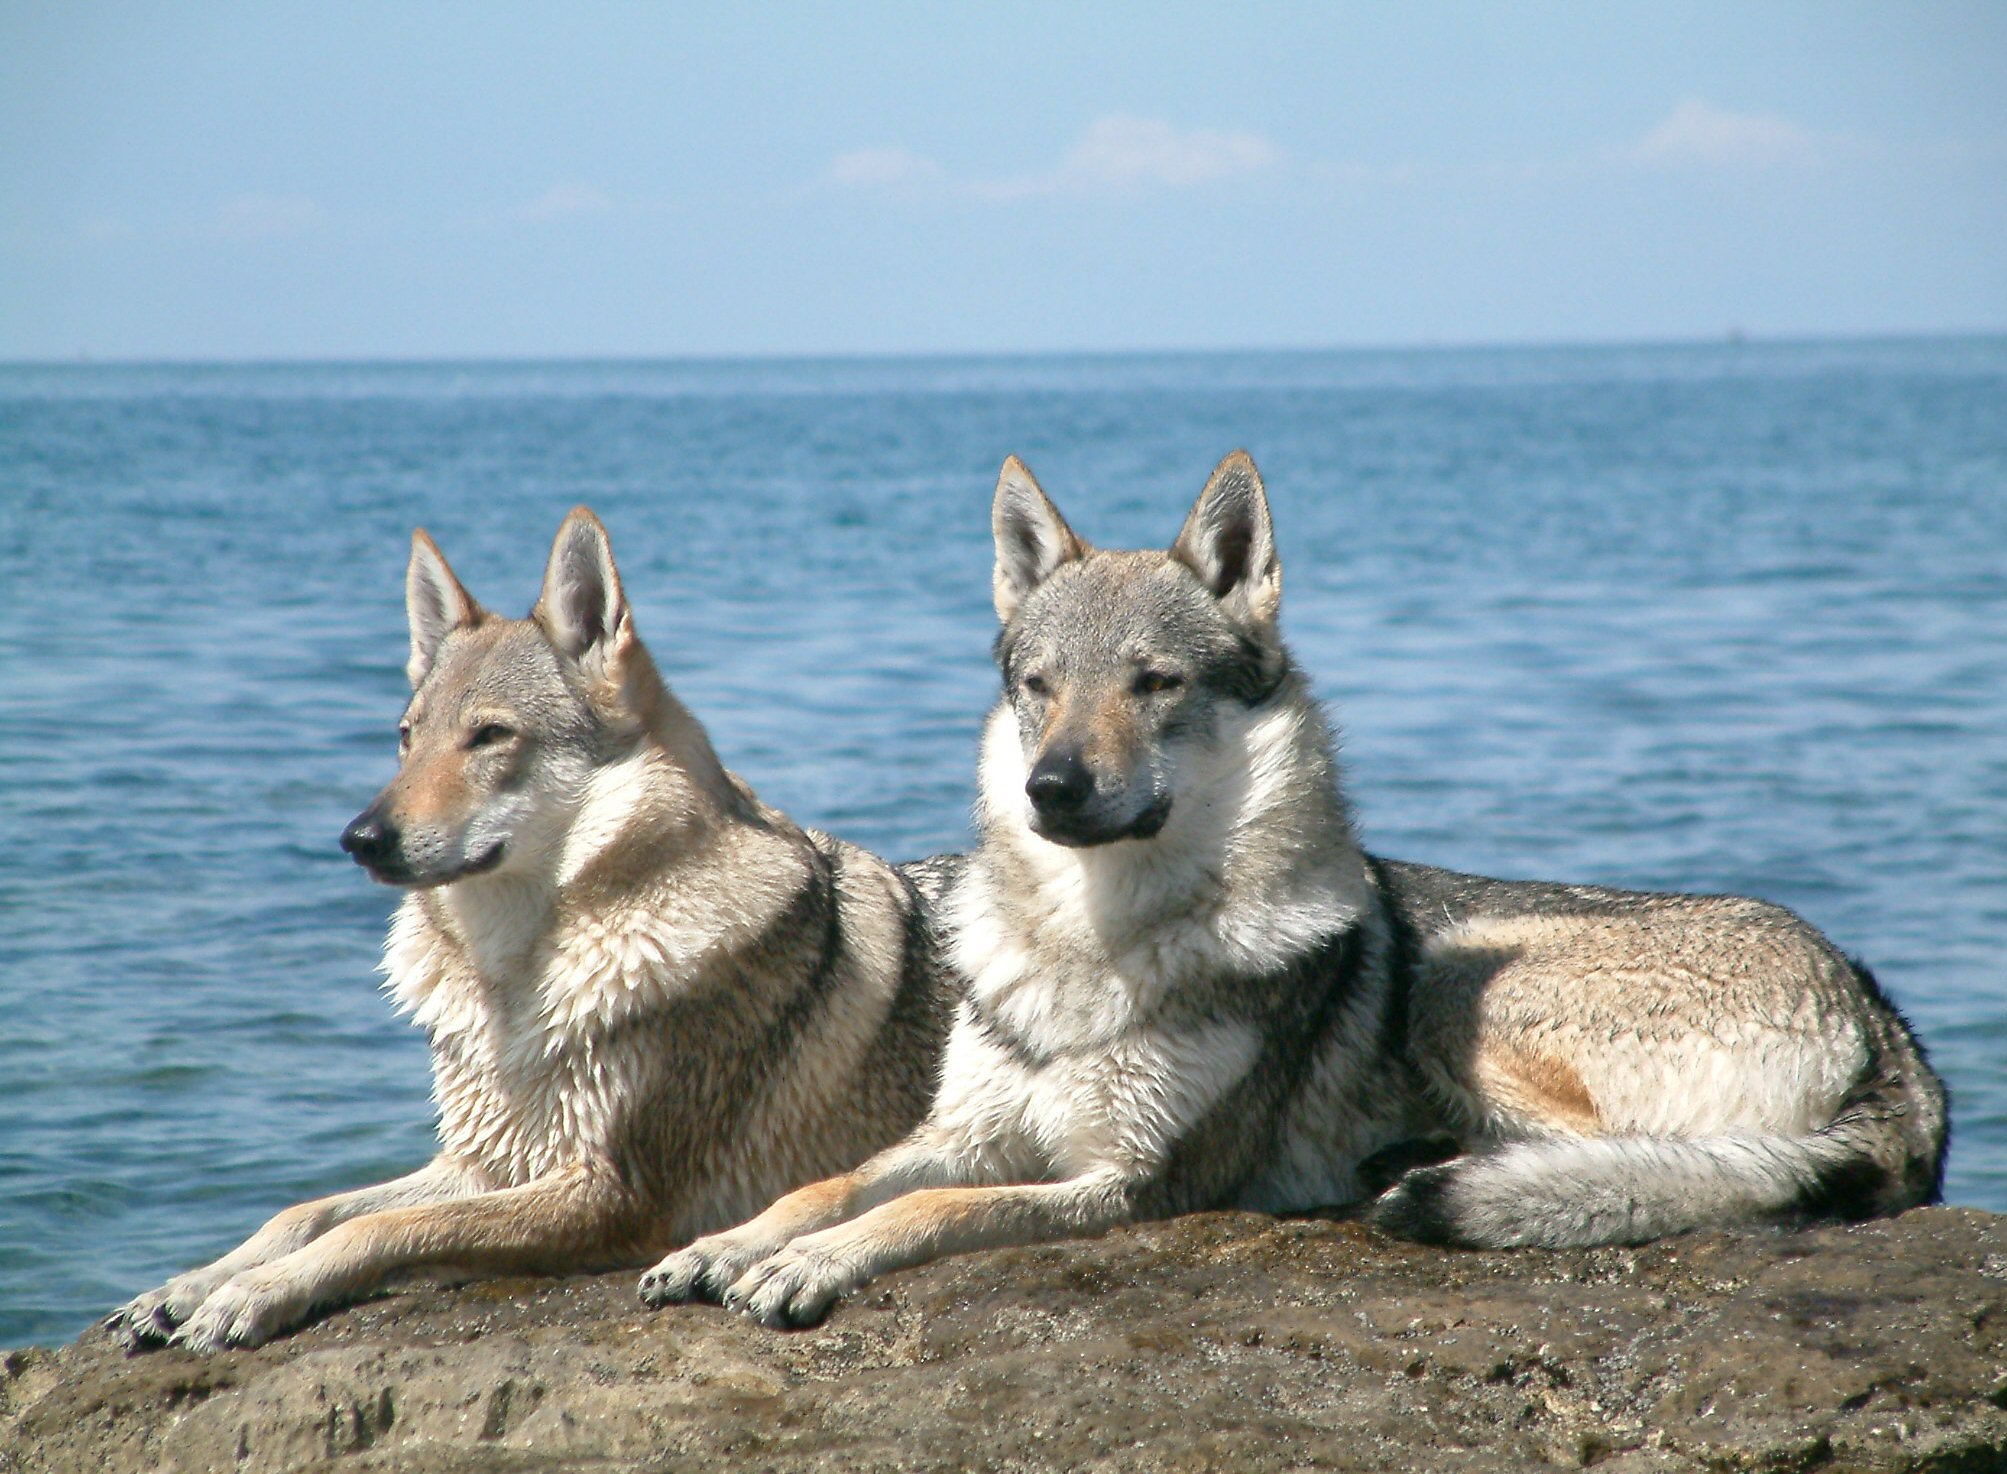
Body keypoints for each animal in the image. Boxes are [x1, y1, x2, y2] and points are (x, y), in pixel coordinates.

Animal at [108, 508, 958, 1352]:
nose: (360, 838)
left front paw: (252, 1294)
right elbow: (306, 1211)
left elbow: (376, 1229)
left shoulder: (606, 1192)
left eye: (489, 736)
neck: (514, 981)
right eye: (406, 738)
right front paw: (186, 1286)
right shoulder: (487, 1159)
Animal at [639, 450, 1948, 1329]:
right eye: (1038, 685)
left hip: (1462, 990)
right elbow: (833, 1181)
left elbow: (924, 1215)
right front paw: (728, 1244)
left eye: (1155, 684)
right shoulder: (963, 1130)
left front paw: (805, 1266)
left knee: (1675, 1167)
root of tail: (1888, 1020)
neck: (1096, 945)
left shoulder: (1126, 1181)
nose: (1051, 788)